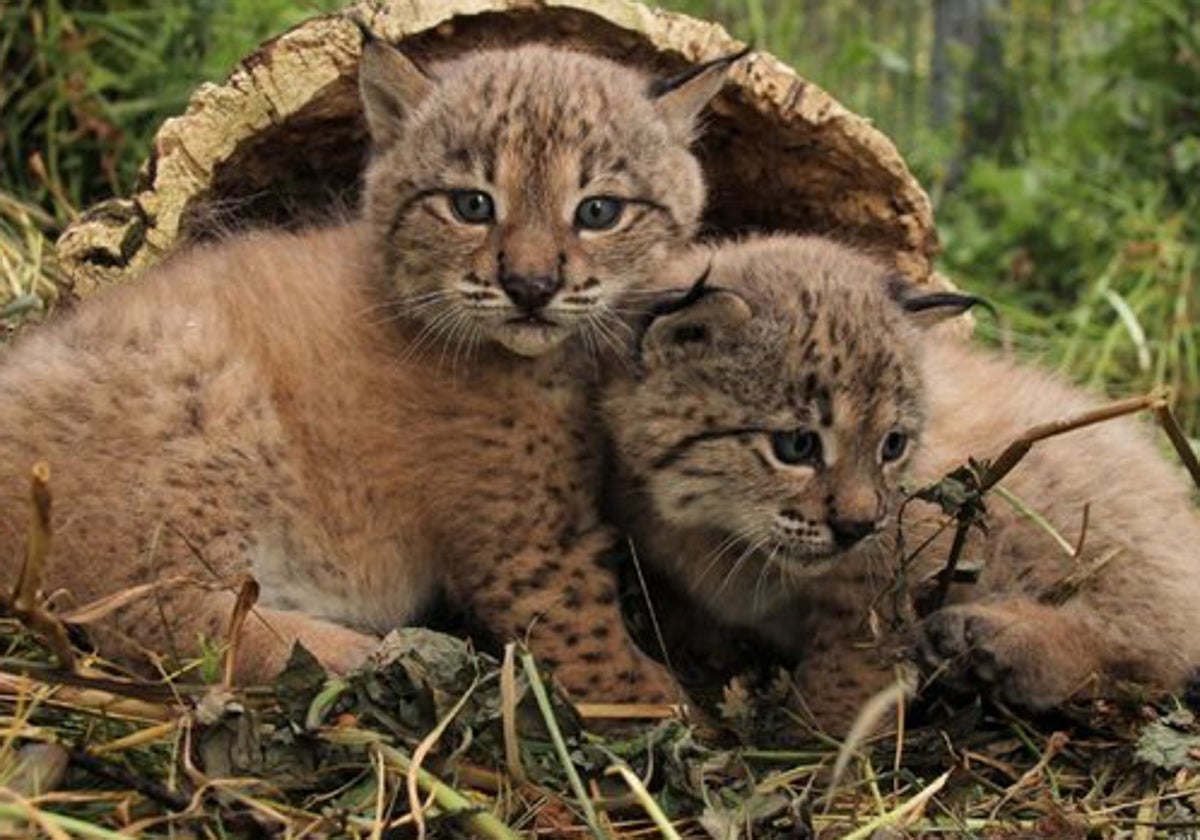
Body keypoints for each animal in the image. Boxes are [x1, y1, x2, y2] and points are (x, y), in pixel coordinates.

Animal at [604, 235, 1200, 729]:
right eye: (797, 446)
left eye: (892, 446)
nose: (857, 525)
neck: (727, 538)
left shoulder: (891, 562)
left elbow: (853, 656)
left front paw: (823, 748)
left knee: (1153, 645)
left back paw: (993, 642)